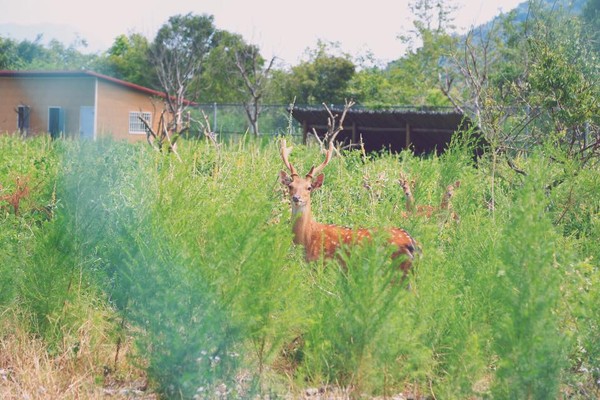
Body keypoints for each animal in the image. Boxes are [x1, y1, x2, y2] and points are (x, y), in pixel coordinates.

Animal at [280, 139, 418, 274]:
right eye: (290, 186)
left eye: (309, 188)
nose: (296, 198)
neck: (308, 237)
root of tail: (411, 242)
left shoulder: (322, 265)